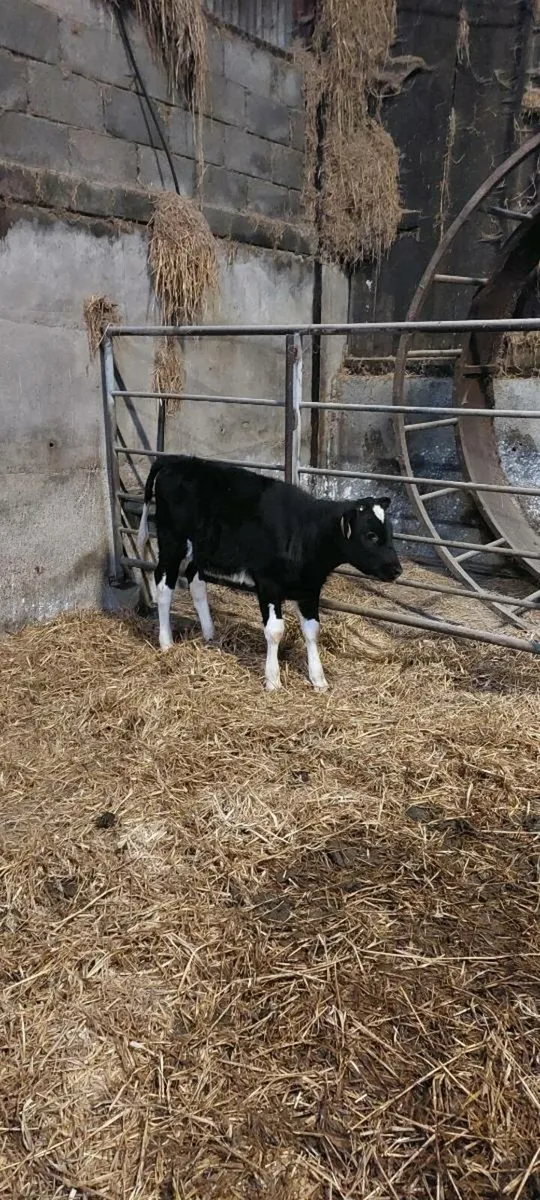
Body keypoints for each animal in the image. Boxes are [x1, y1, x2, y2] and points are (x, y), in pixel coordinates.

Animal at [136, 455, 402, 691]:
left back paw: (210, 635)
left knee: (196, 583)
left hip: (200, 550)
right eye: (370, 535)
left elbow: (312, 630)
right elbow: (275, 631)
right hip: (172, 541)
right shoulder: (268, 583)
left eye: (390, 532)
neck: (305, 533)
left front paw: (318, 679)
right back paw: (166, 642)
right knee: (163, 585)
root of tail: (176, 460)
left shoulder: (309, 588)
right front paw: (273, 680)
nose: (397, 569)